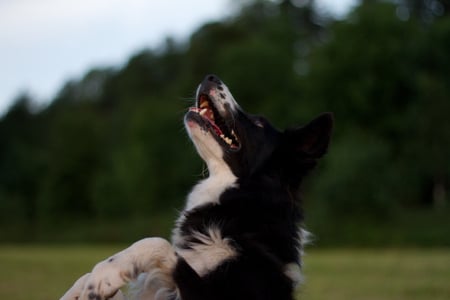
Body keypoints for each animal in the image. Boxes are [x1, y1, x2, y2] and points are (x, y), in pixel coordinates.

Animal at [61, 75, 332, 300]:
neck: (242, 201)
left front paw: (106, 274)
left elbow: (158, 244)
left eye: (258, 124)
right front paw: (82, 289)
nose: (211, 77)